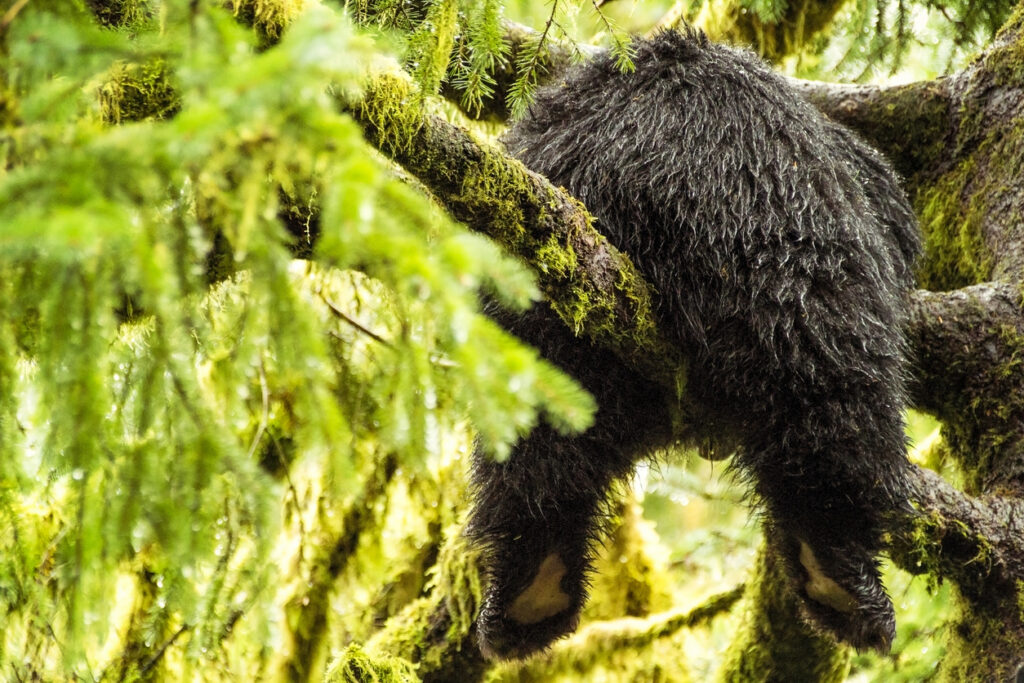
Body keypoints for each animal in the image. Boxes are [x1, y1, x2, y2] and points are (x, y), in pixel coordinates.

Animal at [467, 27, 921, 660]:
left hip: (539, 320)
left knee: (533, 448)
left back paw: (530, 589)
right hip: (795, 264)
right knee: (839, 405)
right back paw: (843, 577)